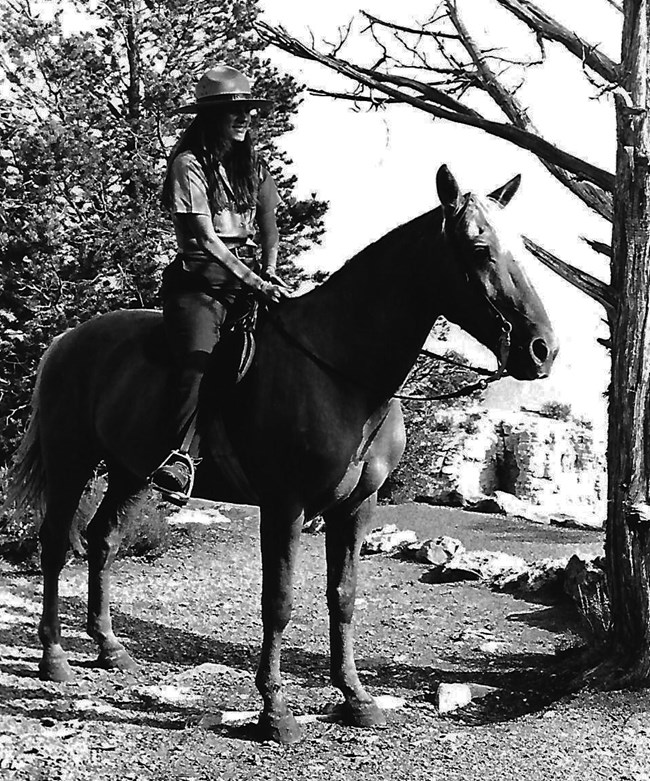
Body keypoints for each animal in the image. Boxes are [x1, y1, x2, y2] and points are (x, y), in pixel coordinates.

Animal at [2, 166, 556, 744]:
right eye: (478, 246)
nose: (542, 349)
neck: (339, 370)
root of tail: (67, 340)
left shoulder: (355, 509)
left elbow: (343, 596)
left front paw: (355, 698)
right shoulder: (285, 505)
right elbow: (279, 601)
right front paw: (275, 711)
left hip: (130, 471)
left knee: (102, 541)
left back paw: (110, 648)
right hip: (71, 460)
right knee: (55, 543)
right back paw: (54, 657)